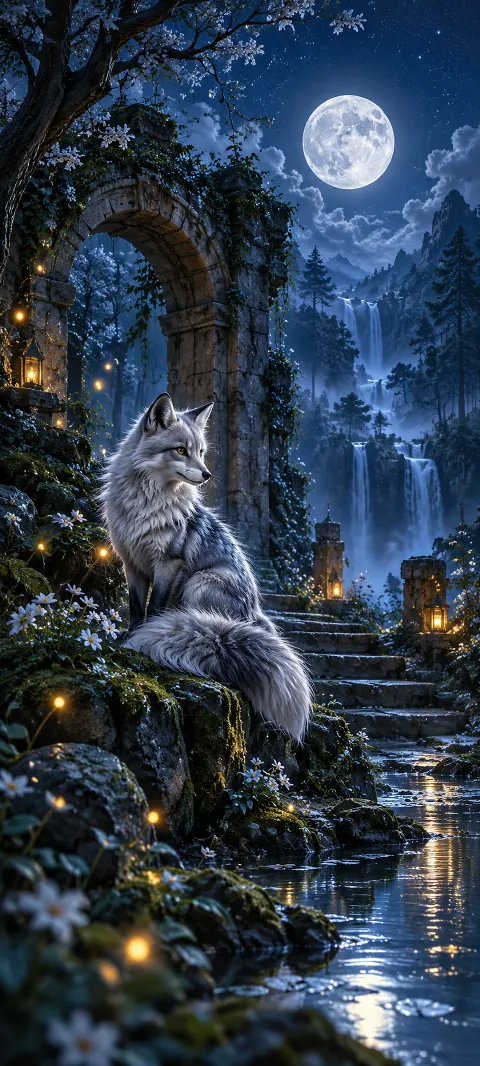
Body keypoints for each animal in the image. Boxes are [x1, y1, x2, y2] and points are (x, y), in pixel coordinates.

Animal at [100, 392, 311, 741]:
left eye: (200, 452)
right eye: (180, 450)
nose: (208, 475)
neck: (146, 505)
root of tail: (256, 616)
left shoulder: (168, 563)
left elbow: (154, 608)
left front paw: (143, 637)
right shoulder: (131, 563)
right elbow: (135, 608)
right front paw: (129, 636)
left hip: (199, 582)